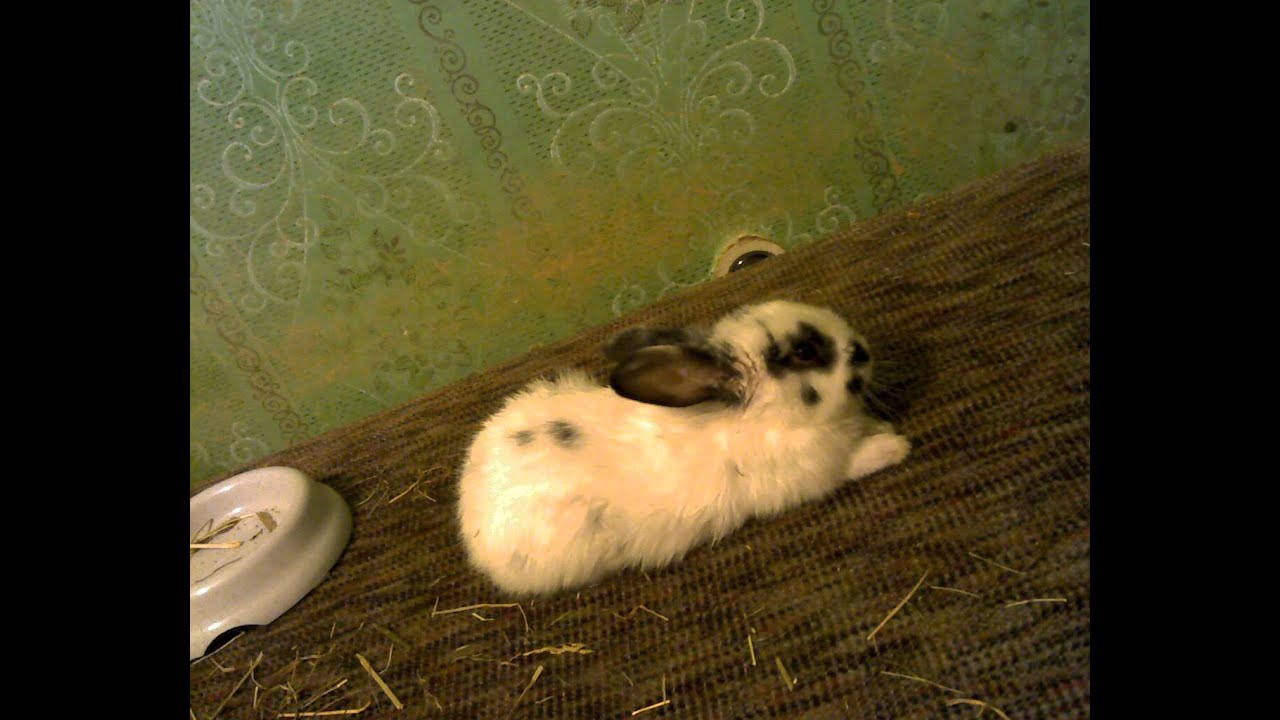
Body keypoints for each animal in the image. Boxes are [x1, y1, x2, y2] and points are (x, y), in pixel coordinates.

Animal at [456, 300, 910, 595]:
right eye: (804, 351)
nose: (863, 349)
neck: (766, 416)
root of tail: (471, 508)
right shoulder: (815, 474)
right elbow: (854, 463)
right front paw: (895, 446)